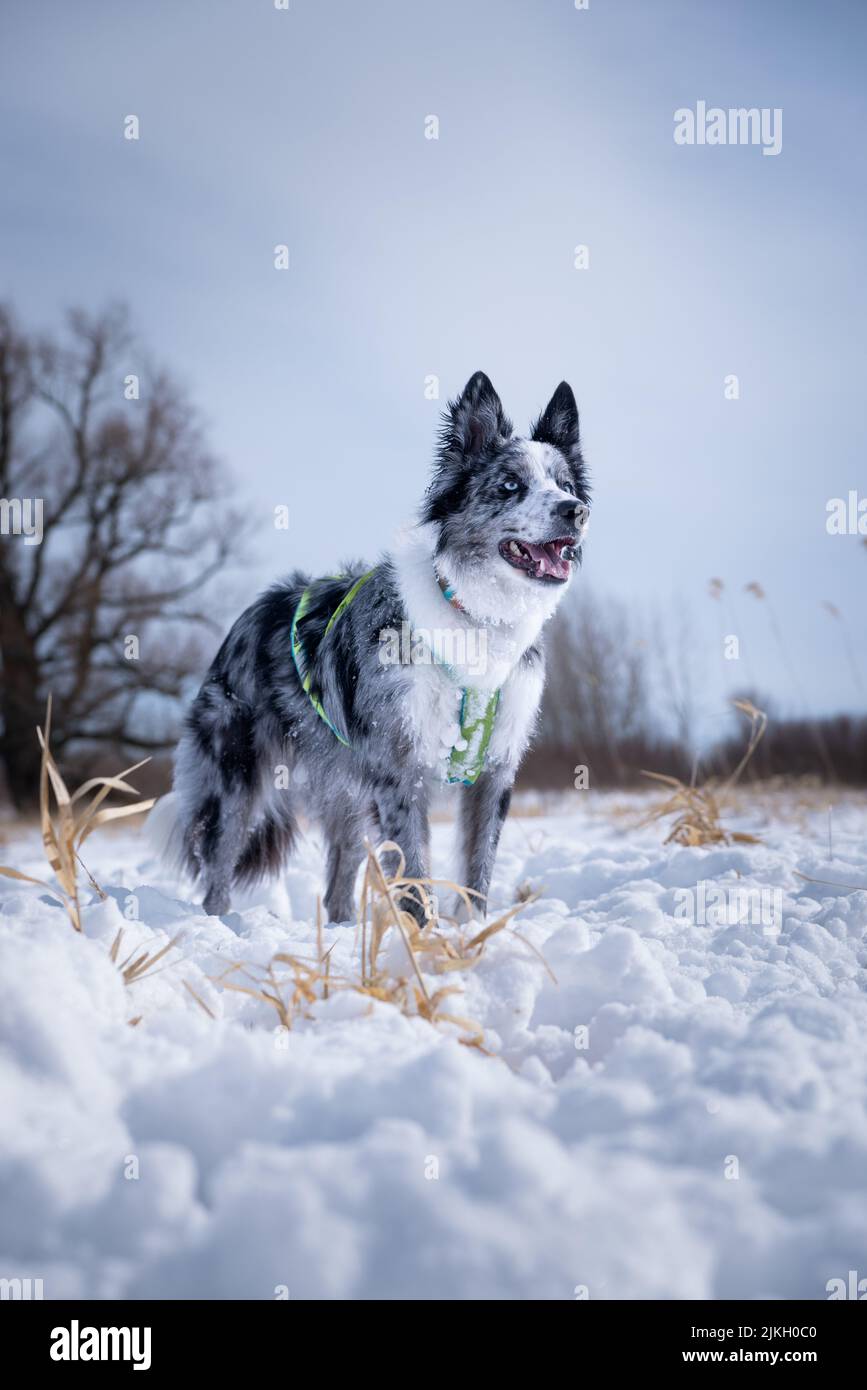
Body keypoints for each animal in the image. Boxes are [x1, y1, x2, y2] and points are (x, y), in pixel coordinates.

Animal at [170, 375, 589, 928]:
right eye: (510, 486)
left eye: (566, 486)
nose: (576, 512)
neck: (476, 618)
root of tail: (250, 613)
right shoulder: (397, 769)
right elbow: (414, 872)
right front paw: (426, 941)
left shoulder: (495, 771)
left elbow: (477, 868)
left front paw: (474, 936)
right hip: (237, 774)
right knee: (220, 862)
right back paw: (216, 922)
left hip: (345, 785)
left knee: (339, 875)